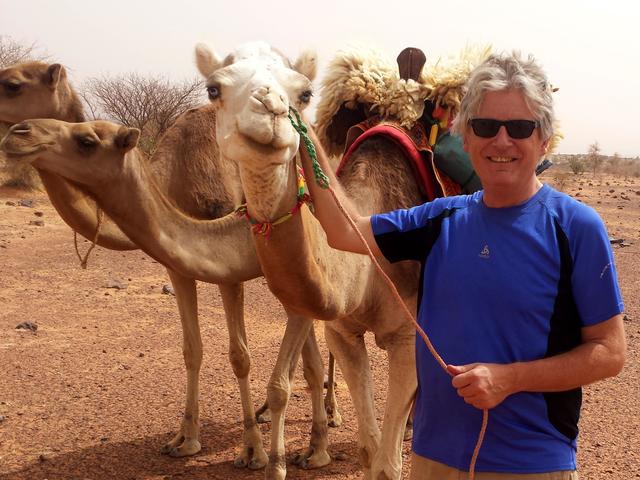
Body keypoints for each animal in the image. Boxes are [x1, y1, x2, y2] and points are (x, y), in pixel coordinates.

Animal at [0, 60, 340, 468]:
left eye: (11, 85)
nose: (19, 133)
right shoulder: (179, 268)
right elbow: (192, 350)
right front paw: (185, 439)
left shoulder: (234, 273)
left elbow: (241, 356)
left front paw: (257, 450)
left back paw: (331, 417)